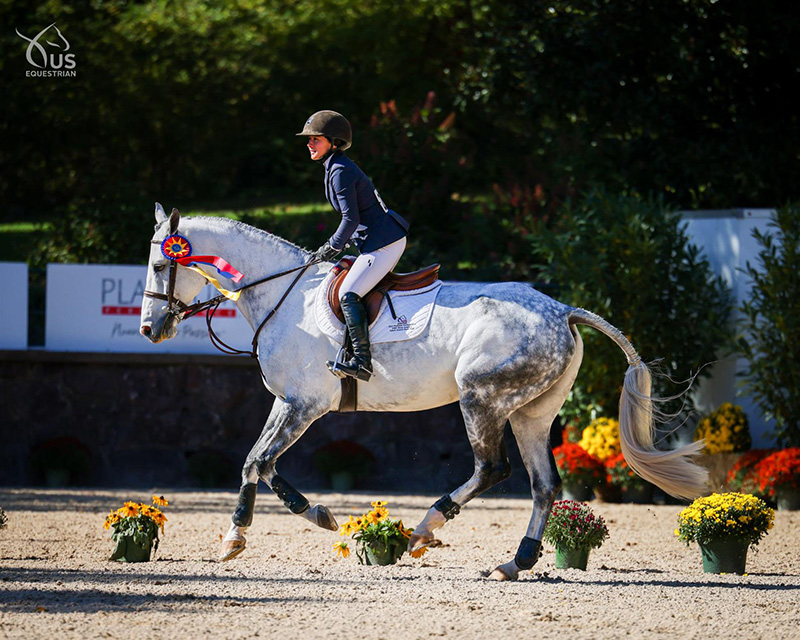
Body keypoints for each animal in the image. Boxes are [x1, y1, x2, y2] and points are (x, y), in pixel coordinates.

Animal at [139, 204, 708, 580]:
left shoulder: (305, 406)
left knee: (492, 468)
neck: (284, 294)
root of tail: (563, 309)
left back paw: (423, 531)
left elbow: (259, 461)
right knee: (544, 484)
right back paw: (514, 562)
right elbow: (257, 461)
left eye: (162, 265)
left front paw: (246, 533)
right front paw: (306, 518)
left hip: (480, 399)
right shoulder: (286, 403)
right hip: (531, 413)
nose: (150, 329)